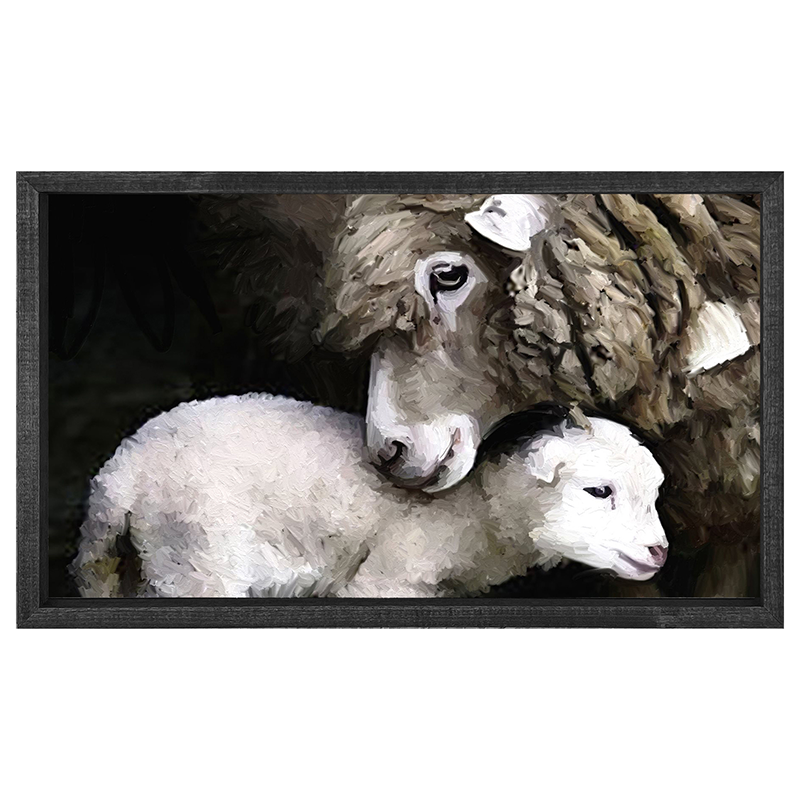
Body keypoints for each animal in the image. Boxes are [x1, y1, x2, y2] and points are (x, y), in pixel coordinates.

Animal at [72, 394, 667, 599]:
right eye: (598, 491)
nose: (659, 553)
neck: (478, 512)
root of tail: (120, 474)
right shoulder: (391, 576)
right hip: (199, 558)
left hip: (128, 566)